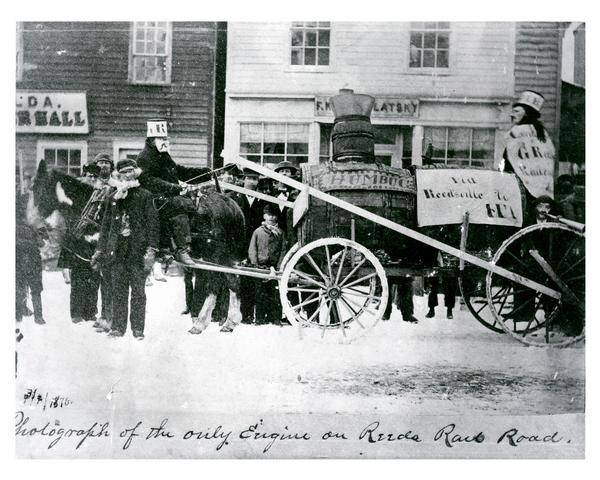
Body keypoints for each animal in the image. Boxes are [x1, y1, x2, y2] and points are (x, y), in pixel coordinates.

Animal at [29, 159, 246, 336]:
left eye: (38, 189)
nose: (33, 226)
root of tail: (231, 204)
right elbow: (107, 289)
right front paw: (105, 321)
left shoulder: (108, 259)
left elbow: (109, 290)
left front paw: (107, 322)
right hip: (223, 256)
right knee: (233, 281)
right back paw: (230, 322)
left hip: (213, 253)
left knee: (214, 285)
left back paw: (200, 323)